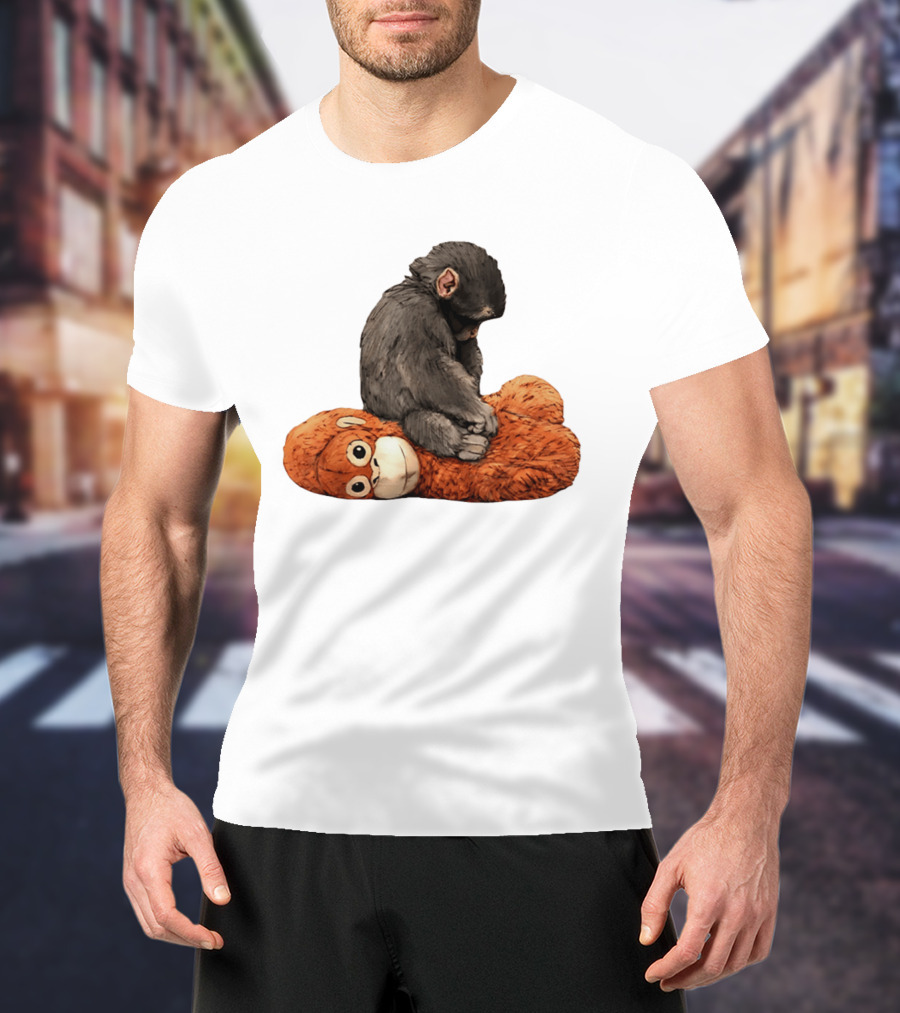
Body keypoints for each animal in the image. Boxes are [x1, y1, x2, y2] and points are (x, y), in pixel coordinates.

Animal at [359, 241, 506, 461]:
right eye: (474, 319)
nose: (474, 331)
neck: (425, 290)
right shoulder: (419, 313)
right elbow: (427, 369)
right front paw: (479, 411)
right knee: (415, 418)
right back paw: (462, 443)